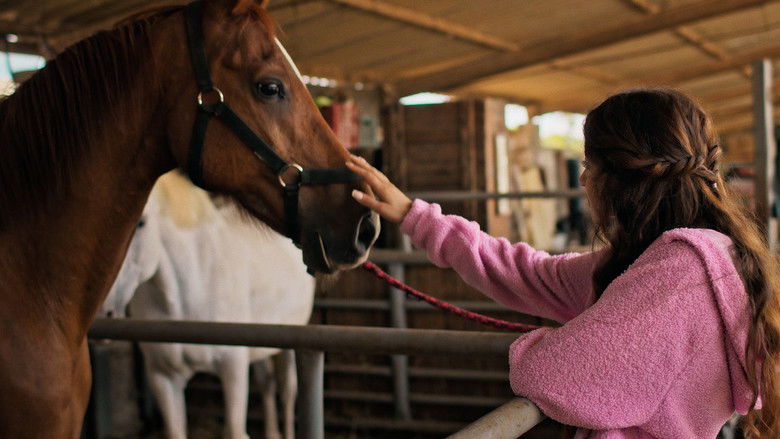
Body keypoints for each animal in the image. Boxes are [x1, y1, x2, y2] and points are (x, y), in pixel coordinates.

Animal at [100, 171, 314, 439]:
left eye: (141, 222)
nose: (101, 310)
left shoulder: (233, 369)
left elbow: (235, 430)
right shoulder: (163, 377)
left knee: (286, 391)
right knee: (266, 383)